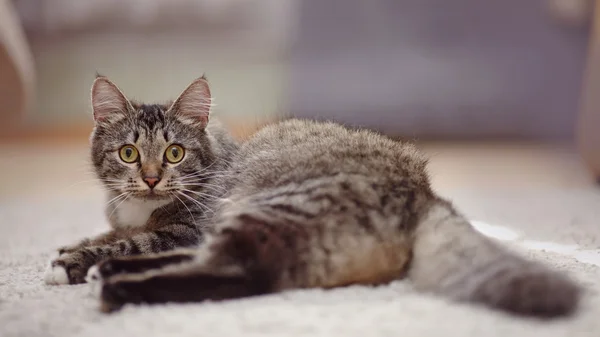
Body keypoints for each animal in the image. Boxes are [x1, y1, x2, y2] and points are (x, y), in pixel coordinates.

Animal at [42, 74, 237, 284]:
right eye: (128, 153)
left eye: (175, 153)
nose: (151, 179)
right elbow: (113, 233)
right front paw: (72, 247)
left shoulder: (187, 233)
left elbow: (129, 245)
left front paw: (69, 262)